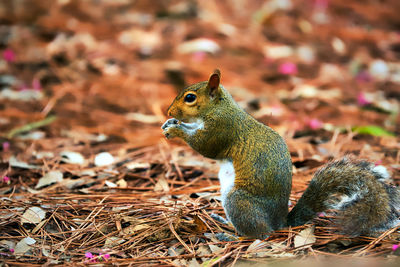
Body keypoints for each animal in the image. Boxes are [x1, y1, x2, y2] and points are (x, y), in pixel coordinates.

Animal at [161, 70, 398, 240]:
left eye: (190, 98)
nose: (169, 112)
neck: (219, 108)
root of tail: (279, 223)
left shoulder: (222, 129)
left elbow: (205, 146)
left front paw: (176, 129)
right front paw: (170, 123)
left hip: (239, 201)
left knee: (260, 234)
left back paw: (228, 236)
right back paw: (223, 222)